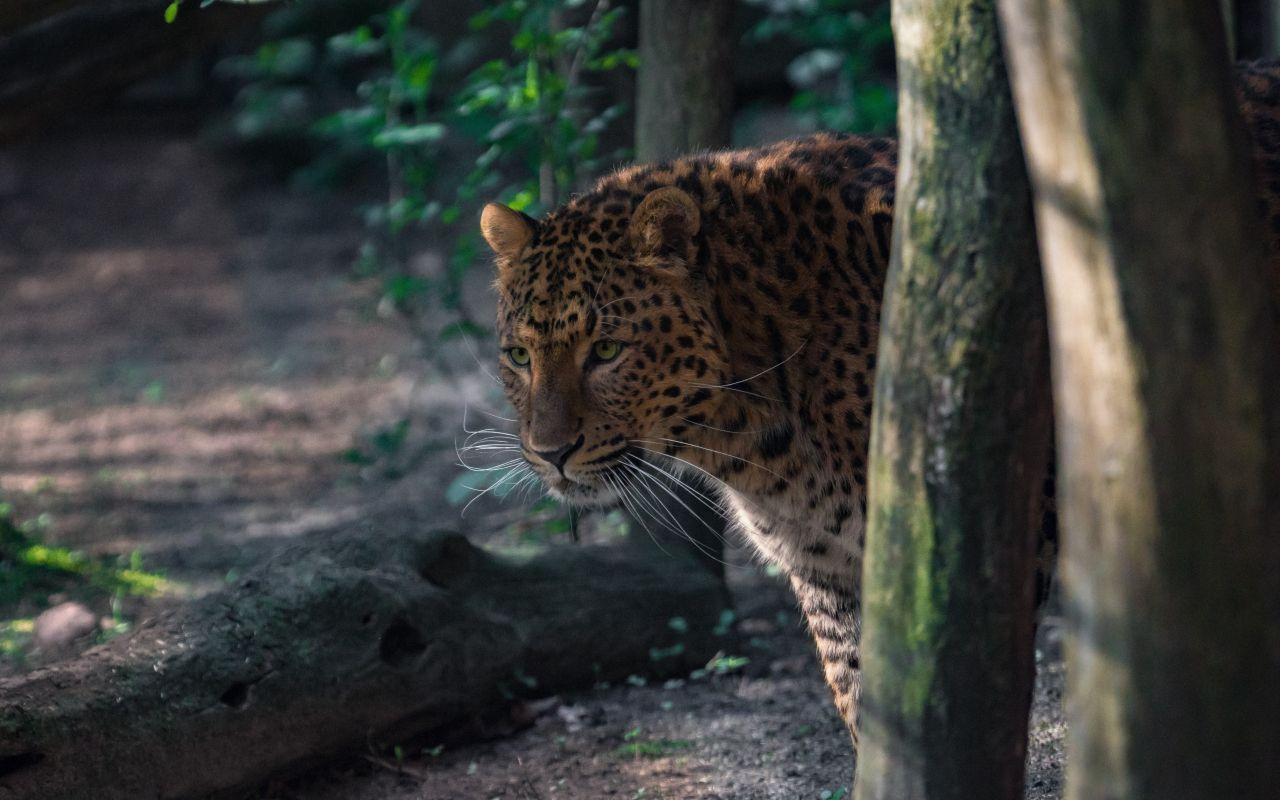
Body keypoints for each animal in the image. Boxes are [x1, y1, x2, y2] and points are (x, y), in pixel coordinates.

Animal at [478, 58, 1280, 750]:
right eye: (518, 356)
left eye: (607, 350)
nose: (549, 453)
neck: (754, 427)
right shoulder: (831, 575)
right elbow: (868, 707)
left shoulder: (987, 546)